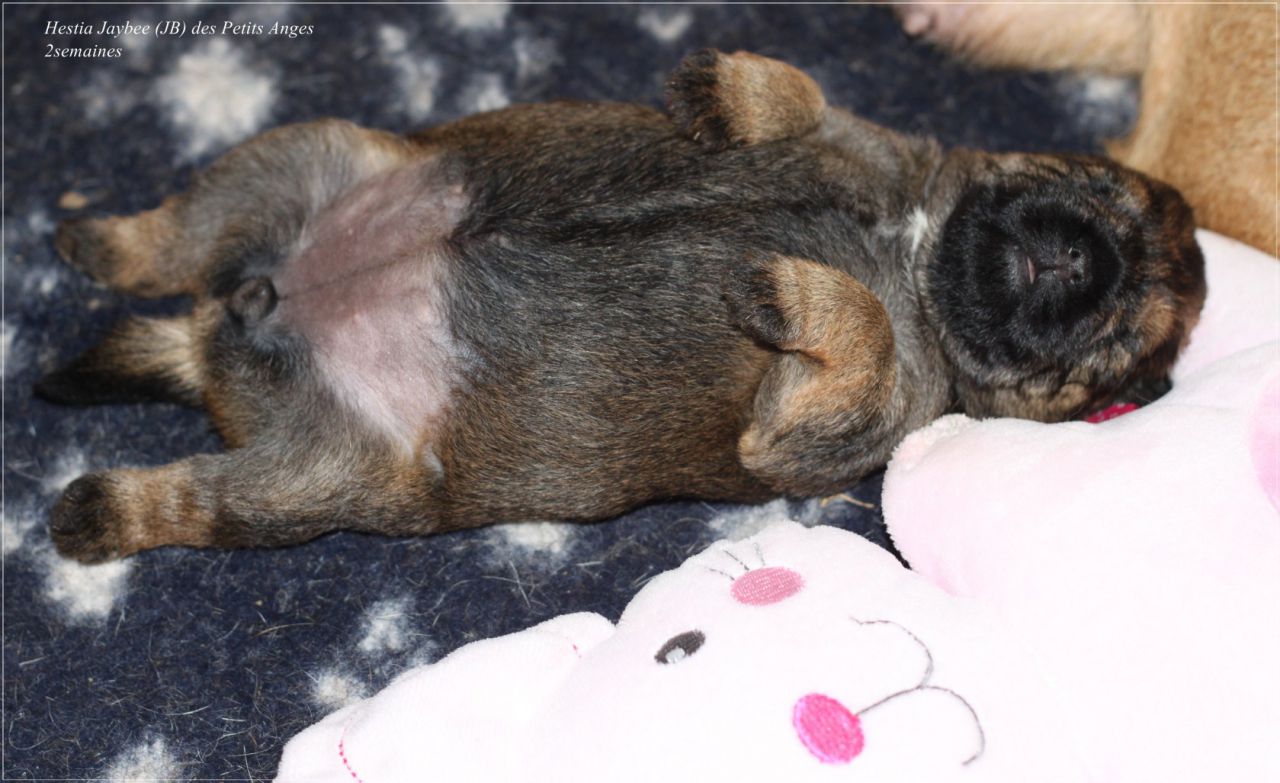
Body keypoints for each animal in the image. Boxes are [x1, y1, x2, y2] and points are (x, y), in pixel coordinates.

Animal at [36, 50, 1205, 562]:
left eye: (1108, 350)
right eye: (1101, 191)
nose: (1087, 262)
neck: (916, 247)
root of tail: (216, 339)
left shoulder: (826, 431)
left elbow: (861, 332)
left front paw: (786, 284)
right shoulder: (865, 137)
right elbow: (807, 96)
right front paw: (731, 90)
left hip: (322, 479)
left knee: (189, 498)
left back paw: (92, 510)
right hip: (307, 157)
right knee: (177, 234)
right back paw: (93, 235)